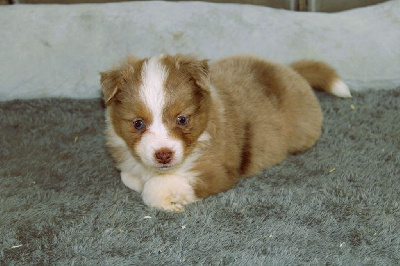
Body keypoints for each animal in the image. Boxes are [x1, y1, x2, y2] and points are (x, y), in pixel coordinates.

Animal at [100, 54, 350, 212]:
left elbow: (157, 186)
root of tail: (291, 70)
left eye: (182, 119)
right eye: (138, 123)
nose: (163, 155)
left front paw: (169, 203)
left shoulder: (215, 172)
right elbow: (128, 177)